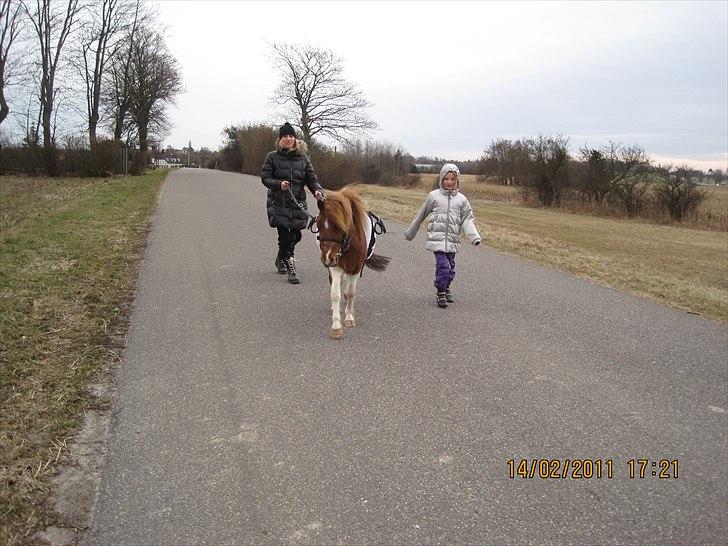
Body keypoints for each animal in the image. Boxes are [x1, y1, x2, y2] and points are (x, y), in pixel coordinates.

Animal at [314, 186, 390, 339]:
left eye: (340, 226)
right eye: (318, 224)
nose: (327, 258)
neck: (348, 244)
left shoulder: (355, 268)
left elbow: (350, 293)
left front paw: (349, 318)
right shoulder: (336, 267)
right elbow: (335, 293)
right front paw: (336, 326)